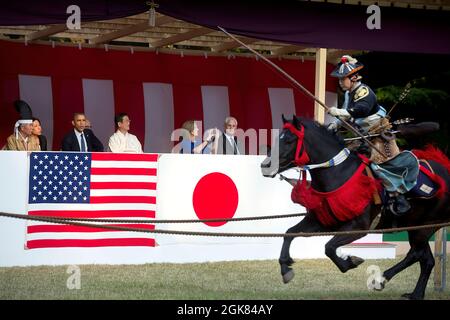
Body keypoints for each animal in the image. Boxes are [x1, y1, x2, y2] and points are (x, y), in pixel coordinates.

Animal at [260, 115, 450, 300]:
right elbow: (290, 233)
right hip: (416, 227)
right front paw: (286, 268)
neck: (338, 173)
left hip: (425, 227)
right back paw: (412, 292)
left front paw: (349, 262)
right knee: (424, 258)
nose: (265, 165)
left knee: (418, 255)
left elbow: (329, 247)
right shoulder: (321, 221)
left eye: (289, 140)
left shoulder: (358, 227)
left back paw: (384, 279)